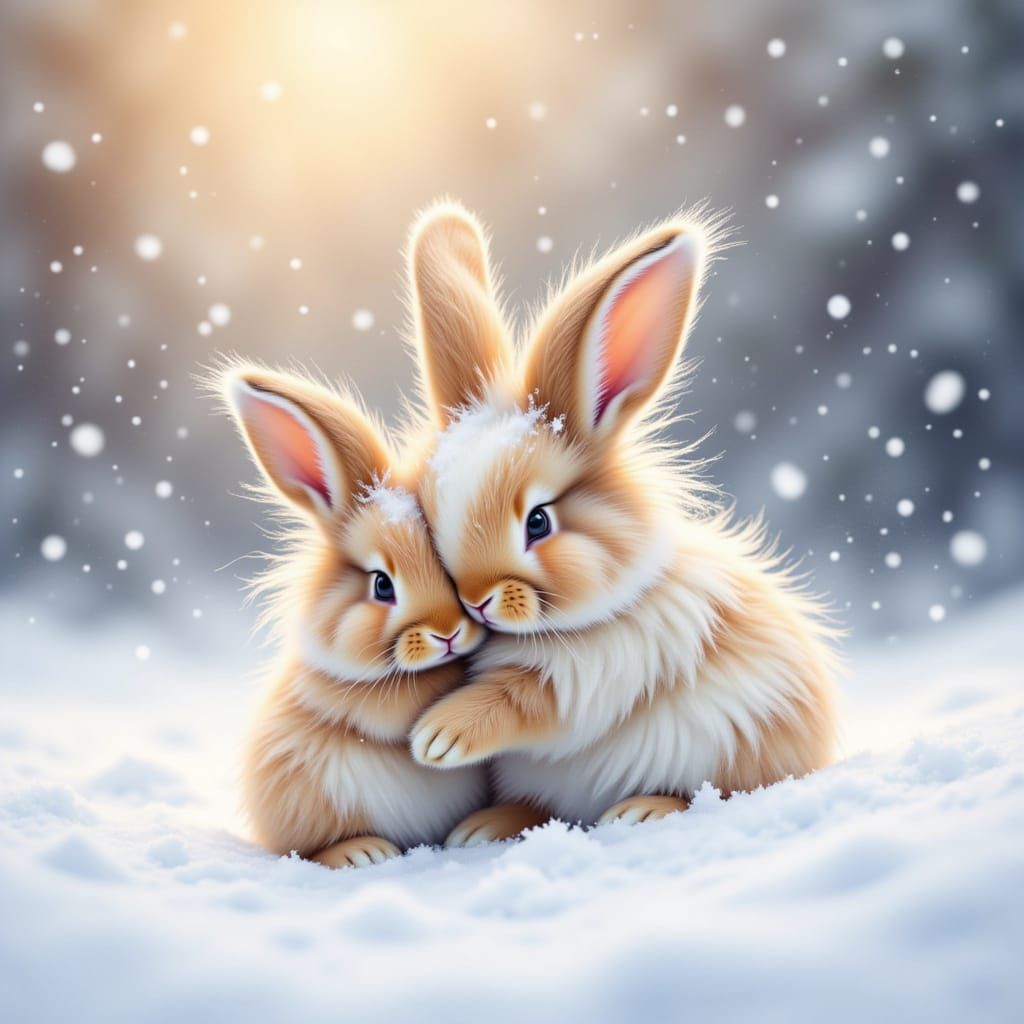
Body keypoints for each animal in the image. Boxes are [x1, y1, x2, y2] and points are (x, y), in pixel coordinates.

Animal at [400, 201, 841, 840]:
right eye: (431, 523)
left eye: (538, 523)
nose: (477, 601)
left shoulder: (596, 675)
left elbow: (522, 699)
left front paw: (437, 736)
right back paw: (488, 824)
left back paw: (640, 810)